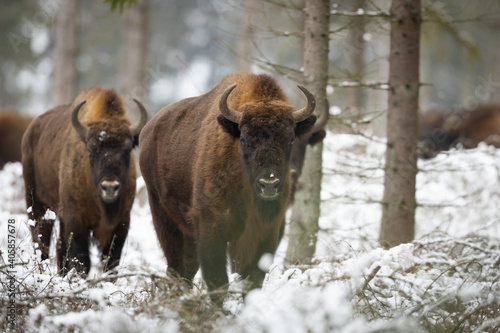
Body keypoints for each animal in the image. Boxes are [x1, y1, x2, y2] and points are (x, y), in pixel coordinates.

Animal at [22, 85, 146, 274]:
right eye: (91, 150)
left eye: (127, 150)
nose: (110, 187)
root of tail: (30, 131)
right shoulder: (77, 222)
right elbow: (81, 260)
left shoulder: (121, 223)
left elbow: (111, 261)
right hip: (37, 205)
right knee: (41, 241)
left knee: (58, 247)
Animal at [138, 70, 316, 298]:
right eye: (244, 139)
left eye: (291, 139)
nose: (269, 184)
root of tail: (147, 130)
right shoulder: (210, 227)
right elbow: (218, 280)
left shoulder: (267, 232)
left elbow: (252, 280)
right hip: (165, 221)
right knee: (176, 269)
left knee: (187, 270)